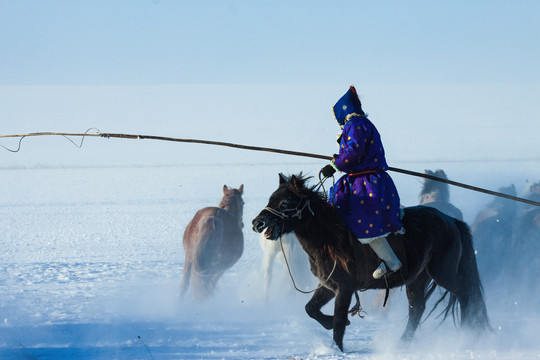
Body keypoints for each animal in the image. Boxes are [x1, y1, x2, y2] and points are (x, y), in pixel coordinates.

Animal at [253, 174, 490, 352]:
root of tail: (452, 221)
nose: (257, 223)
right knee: (417, 308)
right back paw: (403, 344)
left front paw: (337, 348)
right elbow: (311, 309)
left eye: (284, 202)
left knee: (466, 295)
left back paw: (470, 334)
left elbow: (338, 322)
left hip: (443, 273)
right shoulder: (329, 285)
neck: (331, 238)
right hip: (418, 277)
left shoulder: (345, 288)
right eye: (271, 199)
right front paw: (333, 324)